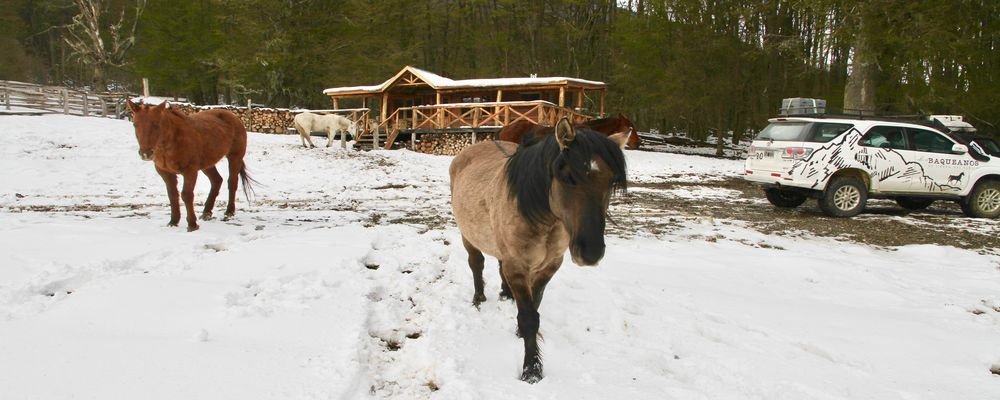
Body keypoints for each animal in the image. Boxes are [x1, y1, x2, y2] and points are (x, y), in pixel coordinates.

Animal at [127, 98, 258, 233]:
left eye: (156, 124)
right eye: (135, 124)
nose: (145, 153)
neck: (171, 141)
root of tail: (234, 117)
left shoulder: (190, 171)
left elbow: (186, 195)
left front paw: (192, 224)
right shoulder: (165, 173)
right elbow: (172, 196)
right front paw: (173, 222)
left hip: (234, 157)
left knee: (232, 182)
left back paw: (229, 211)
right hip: (207, 164)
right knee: (216, 180)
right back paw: (207, 212)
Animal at [452, 117, 628, 382]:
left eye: (610, 181)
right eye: (568, 176)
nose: (591, 252)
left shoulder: (549, 265)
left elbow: (534, 306)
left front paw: (519, 333)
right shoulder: (517, 266)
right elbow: (529, 318)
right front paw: (532, 371)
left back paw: (505, 294)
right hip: (468, 237)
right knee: (476, 264)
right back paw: (479, 298)